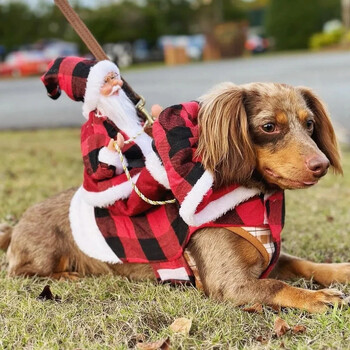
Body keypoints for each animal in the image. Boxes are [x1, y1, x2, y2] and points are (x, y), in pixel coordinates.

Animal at [0, 82, 350, 312]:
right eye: (268, 127)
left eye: (309, 124)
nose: (321, 165)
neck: (258, 201)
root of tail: (17, 225)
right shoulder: (230, 283)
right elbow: (276, 286)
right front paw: (317, 297)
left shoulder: (270, 257)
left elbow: (305, 264)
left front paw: (340, 270)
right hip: (43, 256)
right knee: (21, 271)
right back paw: (67, 275)